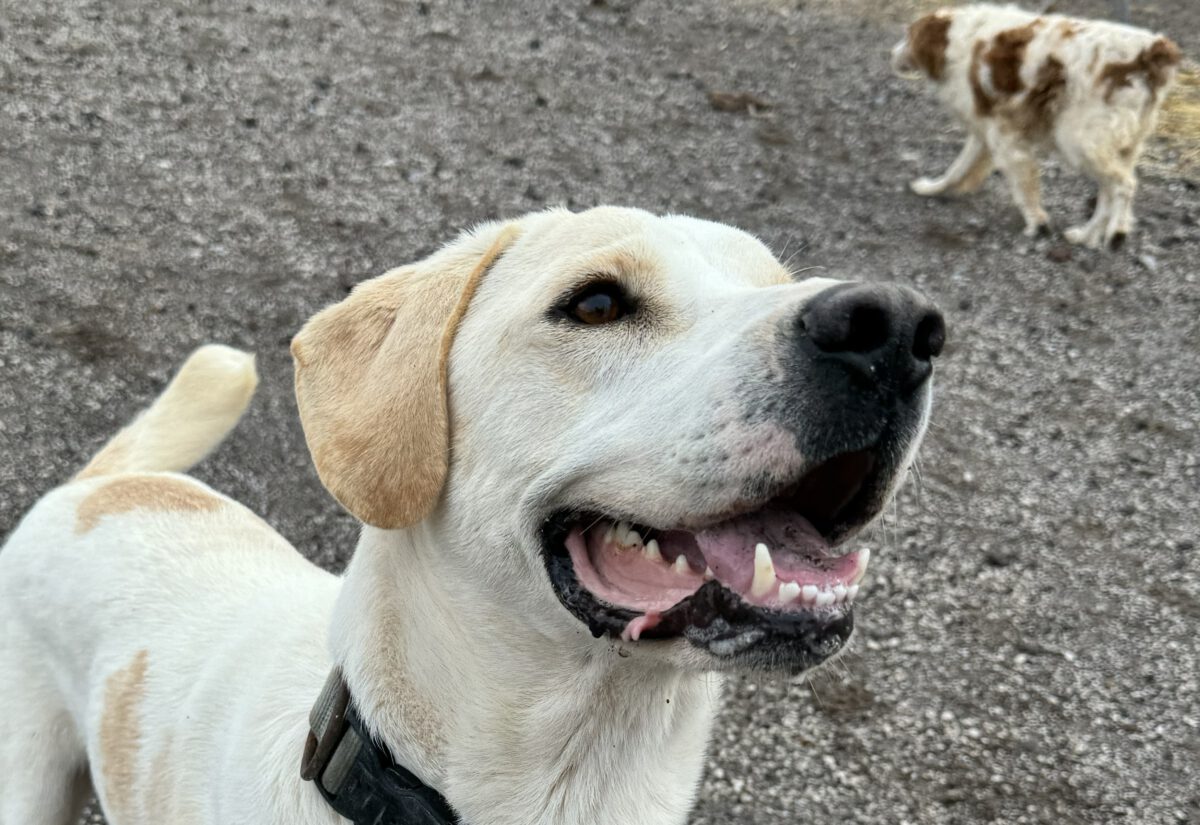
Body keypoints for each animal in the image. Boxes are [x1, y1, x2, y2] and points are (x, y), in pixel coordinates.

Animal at [892, 4, 1182, 249]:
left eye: (907, 36)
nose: (891, 53)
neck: (955, 39)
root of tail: (1151, 50)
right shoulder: (986, 130)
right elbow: (956, 170)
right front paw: (931, 188)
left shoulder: (1005, 137)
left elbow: (1024, 185)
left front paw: (1037, 223)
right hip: (1116, 147)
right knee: (1108, 193)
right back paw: (1085, 235)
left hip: (1079, 140)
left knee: (1123, 186)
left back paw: (1117, 232)